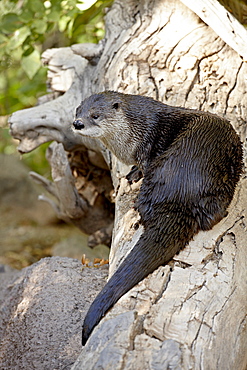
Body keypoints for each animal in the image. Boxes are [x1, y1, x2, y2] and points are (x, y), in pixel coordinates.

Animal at [72, 91, 243, 346]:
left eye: (95, 115)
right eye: (77, 110)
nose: (78, 123)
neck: (134, 132)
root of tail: (179, 192)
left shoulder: (147, 148)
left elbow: (142, 165)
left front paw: (134, 173)